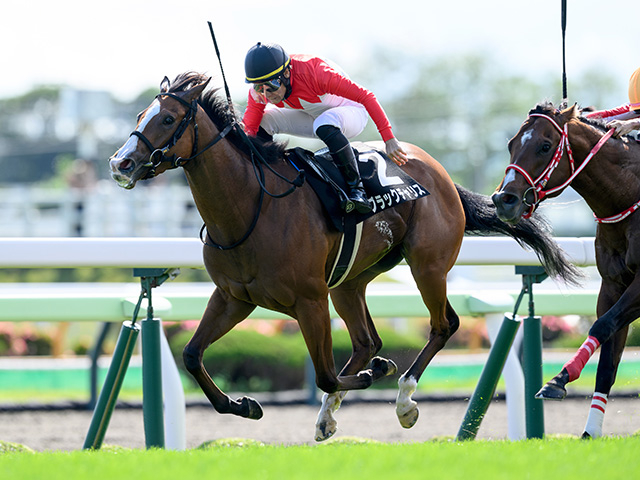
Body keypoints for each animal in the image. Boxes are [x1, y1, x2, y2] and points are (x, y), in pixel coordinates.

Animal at [109, 73, 578, 442]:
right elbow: (192, 355)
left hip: (426, 266)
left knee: (443, 324)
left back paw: (403, 399)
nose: (121, 163)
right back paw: (330, 414)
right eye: (139, 116)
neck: (250, 206)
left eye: (167, 119)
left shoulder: (308, 300)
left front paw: (376, 374)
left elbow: (325, 372)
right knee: (367, 339)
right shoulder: (234, 297)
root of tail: (438, 170)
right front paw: (245, 405)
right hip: (350, 282)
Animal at [492, 101, 640, 438]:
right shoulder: (613, 284)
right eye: (511, 144)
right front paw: (590, 431)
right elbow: (607, 360)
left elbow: (601, 326)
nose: (503, 200)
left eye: (545, 146)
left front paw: (558, 379)